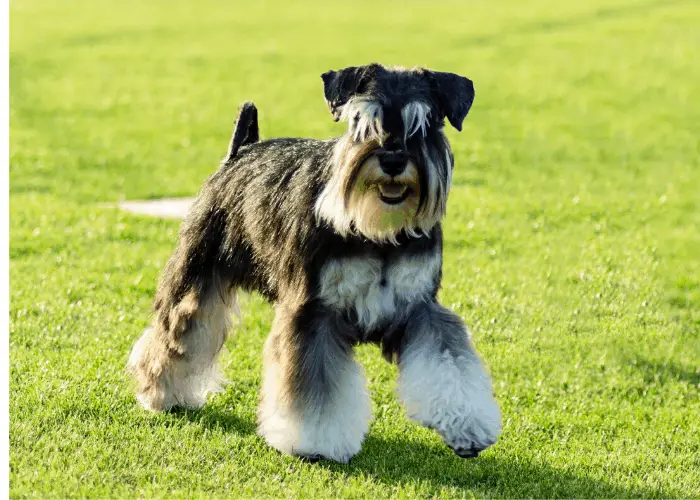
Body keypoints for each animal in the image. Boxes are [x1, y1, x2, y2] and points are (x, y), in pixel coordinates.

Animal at [129, 64, 500, 462]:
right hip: (196, 279)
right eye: (361, 122)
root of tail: (240, 151)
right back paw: (162, 393)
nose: (393, 160)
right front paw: (315, 441)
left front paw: (467, 425)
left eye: (425, 123)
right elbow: (314, 388)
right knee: (176, 335)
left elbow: (450, 363)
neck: (378, 231)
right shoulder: (313, 313)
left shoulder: (422, 309)